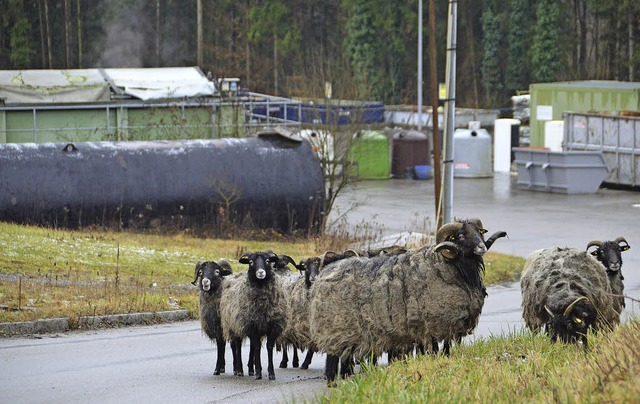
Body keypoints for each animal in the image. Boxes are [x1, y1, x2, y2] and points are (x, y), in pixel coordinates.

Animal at [220, 251, 290, 380]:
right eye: (251, 262)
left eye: (267, 261)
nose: (261, 272)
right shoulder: (250, 326)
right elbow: (257, 347)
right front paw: (258, 372)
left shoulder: (272, 326)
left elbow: (268, 347)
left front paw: (271, 373)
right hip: (235, 325)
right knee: (237, 346)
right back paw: (239, 370)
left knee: (251, 346)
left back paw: (250, 370)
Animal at [308, 218, 508, 386]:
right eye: (460, 236)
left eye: (479, 231)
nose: (482, 247)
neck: (448, 265)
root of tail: (325, 273)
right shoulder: (432, 323)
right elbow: (436, 350)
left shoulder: (445, 325)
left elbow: (445, 349)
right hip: (336, 327)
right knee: (332, 357)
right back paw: (332, 381)